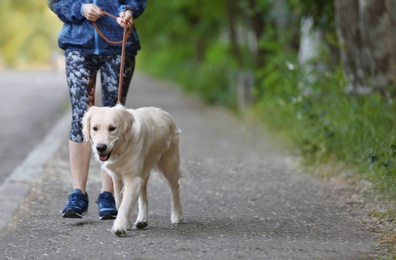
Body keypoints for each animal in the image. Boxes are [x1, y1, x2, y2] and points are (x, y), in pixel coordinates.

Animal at [83, 103, 184, 236]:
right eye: (95, 128)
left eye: (112, 128)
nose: (100, 147)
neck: (122, 148)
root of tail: (164, 112)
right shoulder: (117, 177)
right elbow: (120, 202)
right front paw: (127, 223)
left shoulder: (132, 179)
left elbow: (125, 204)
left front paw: (119, 227)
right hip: (143, 171)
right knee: (143, 195)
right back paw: (142, 220)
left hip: (169, 164)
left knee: (175, 188)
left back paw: (177, 215)